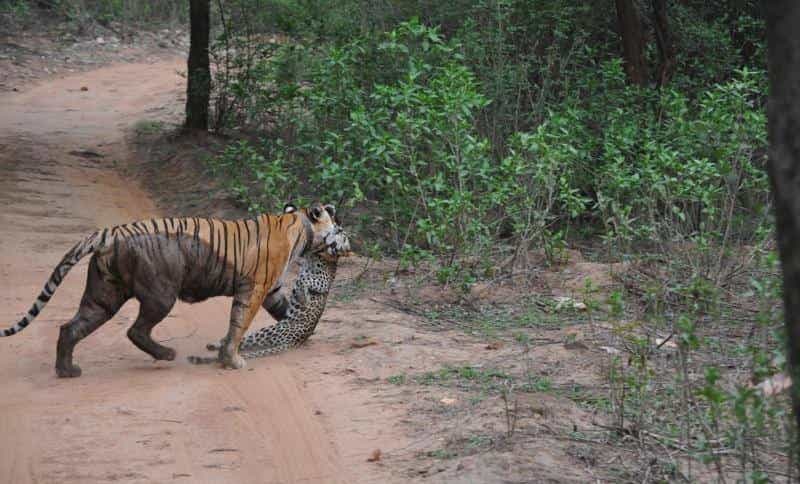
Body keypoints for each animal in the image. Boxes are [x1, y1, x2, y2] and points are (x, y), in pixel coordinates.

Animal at [0, 202, 344, 376]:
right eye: (338, 225)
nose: (344, 237)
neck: (301, 228)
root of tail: (111, 232)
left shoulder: (271, 289)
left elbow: (284, 312)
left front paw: (299, 331)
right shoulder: (255, 289)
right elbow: (238, 325)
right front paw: (232, 360)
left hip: (103, 295)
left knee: (70, 327)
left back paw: (67, 370)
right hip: (160, 294)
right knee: (135, 330)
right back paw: (166, 354)